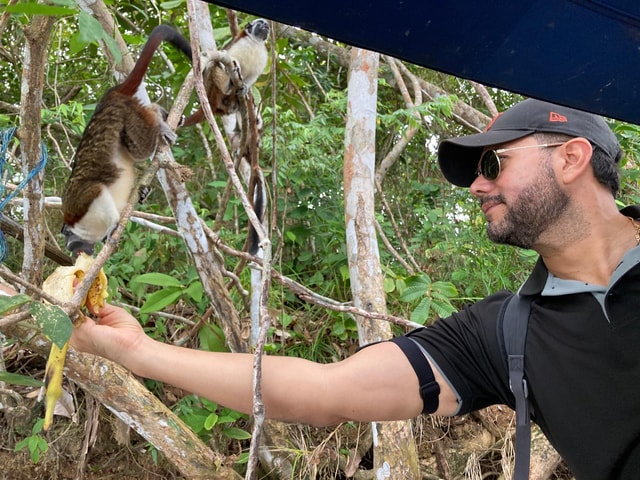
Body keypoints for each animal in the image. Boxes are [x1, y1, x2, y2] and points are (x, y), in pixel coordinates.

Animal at [61, 25, 192, 255]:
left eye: (68, 236)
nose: (69, 246)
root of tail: (109, 98)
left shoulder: (75, 203)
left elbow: (95, 189)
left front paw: (112, 227)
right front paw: (143, 194)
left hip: (126, 112)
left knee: (141, 149)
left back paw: (158, 118)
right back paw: (163, 114)